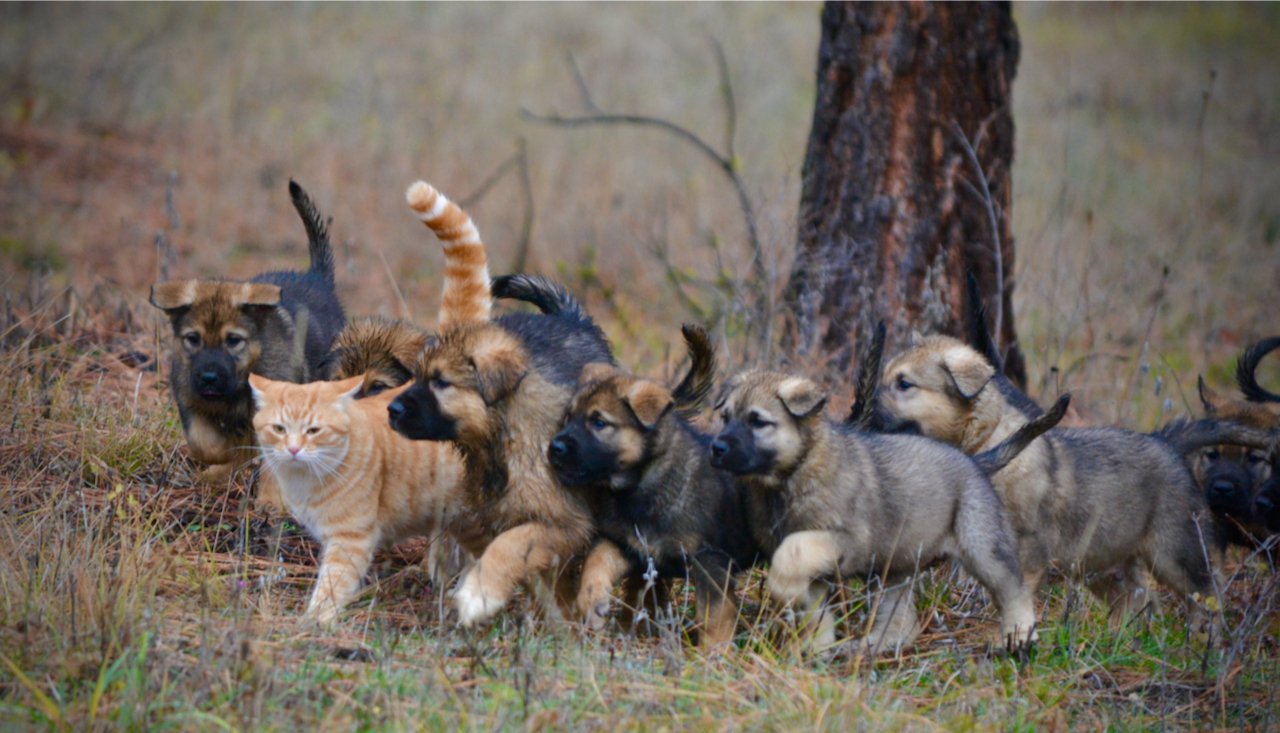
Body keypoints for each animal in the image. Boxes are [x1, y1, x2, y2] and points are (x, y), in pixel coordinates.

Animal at [151, 179, 345, 483]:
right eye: (193, 339)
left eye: (234, 340)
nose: (208, 379)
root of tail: (317, 277)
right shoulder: (189, 399)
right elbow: (203, 443)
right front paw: (217, 466)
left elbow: (248, 446)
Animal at [247, 370, 473, 624]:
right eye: (279, 429)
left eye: (313, 430)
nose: (293, 449)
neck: (304, 481)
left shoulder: (350, 539)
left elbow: (332, 585)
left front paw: (315, 621)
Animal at [386, 283, 611, 624]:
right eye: (418, 376)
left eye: (441, 382)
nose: (392, 409)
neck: (502, 437)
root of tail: (573, 318)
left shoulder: (567, 521)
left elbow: (511, 545)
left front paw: (479, 594)